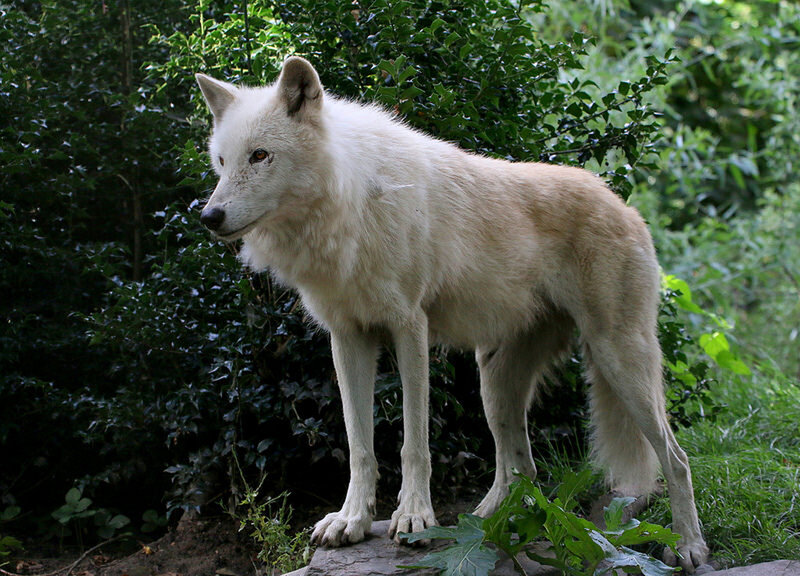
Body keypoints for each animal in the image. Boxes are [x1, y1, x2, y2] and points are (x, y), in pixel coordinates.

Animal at [195, 56, 709, 571]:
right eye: (221, 162)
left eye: (260, 156)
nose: (208, 217)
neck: (352, 202)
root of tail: (622, 202)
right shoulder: (347, 337)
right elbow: (359, 443)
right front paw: (352, 521)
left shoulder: (409, 328)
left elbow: (413, 442)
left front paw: (414, 519)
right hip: (494, 383)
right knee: (521, 469)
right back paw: (479, 527)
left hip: (617, 361)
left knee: (677, 459)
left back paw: (689, 546)